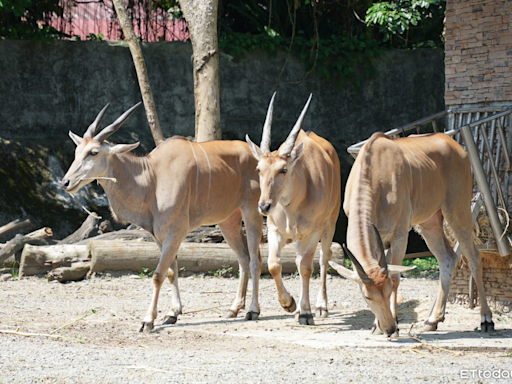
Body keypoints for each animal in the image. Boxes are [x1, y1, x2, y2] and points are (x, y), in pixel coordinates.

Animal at [61, 102, 264, 332]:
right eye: (77, 151)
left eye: (93, 152)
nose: (65, 182)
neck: (152, 177)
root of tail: (257, 155)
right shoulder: (159, 236)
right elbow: (171, 271)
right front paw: (172, 313)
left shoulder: (176, 232)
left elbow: (158, 274)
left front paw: (148, 320)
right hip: (227, 220)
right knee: (243, 258)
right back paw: (234, 308)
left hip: (252, 211)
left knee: (255, 259)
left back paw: (253, 310)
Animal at [247, 94, 342, 326]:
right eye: (259, 169)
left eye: (283, 169)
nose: (264, 206)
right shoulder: (275, 231)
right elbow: (273, 264)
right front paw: (288, 303)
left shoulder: (313, 232)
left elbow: (307, 267)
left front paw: (305, 312)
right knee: (297, 261)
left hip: (330, 222)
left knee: (323, 258)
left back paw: (320, 306)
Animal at [330, 132, 494, 336]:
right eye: (367, 297)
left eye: (388, 291)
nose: (389, 328)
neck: (374, 173)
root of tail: (457, 147)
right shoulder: (381, 239)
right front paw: (376, 326)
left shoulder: (400, 235)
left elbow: (395, 277)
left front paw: (394, 323)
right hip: (429, 223)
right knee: (447, 259)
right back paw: (432, 320)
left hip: (457, 211)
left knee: (474, 257)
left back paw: (486, 319)